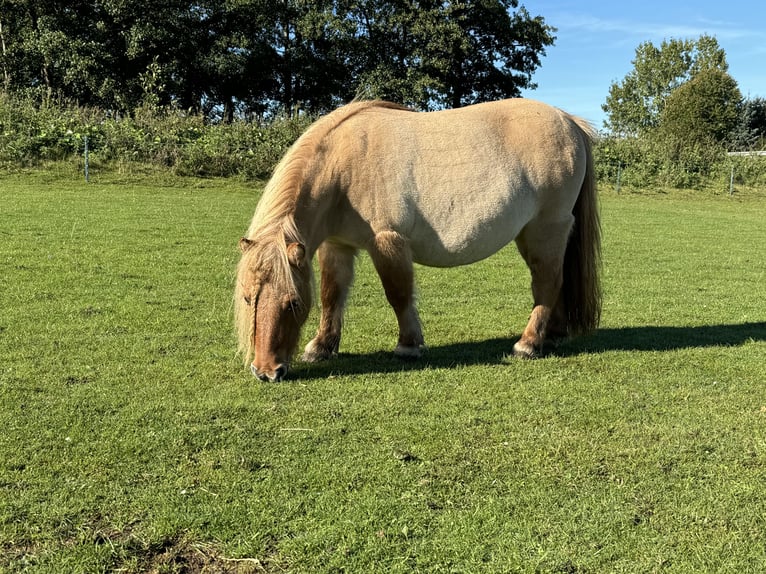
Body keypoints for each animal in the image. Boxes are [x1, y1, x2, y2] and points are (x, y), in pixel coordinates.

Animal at [234, 100, 600, 382]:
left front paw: (408, 346)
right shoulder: (337, 246)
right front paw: (321, 347)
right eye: (249, 298)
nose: (267, 372)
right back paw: (552, 336)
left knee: (547, 283)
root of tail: (569, 121)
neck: (344, 167)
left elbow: (398, 294)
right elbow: (331, 295)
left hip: (544, 231)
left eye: (293, 303)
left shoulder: (387, 242)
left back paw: (528, 344)